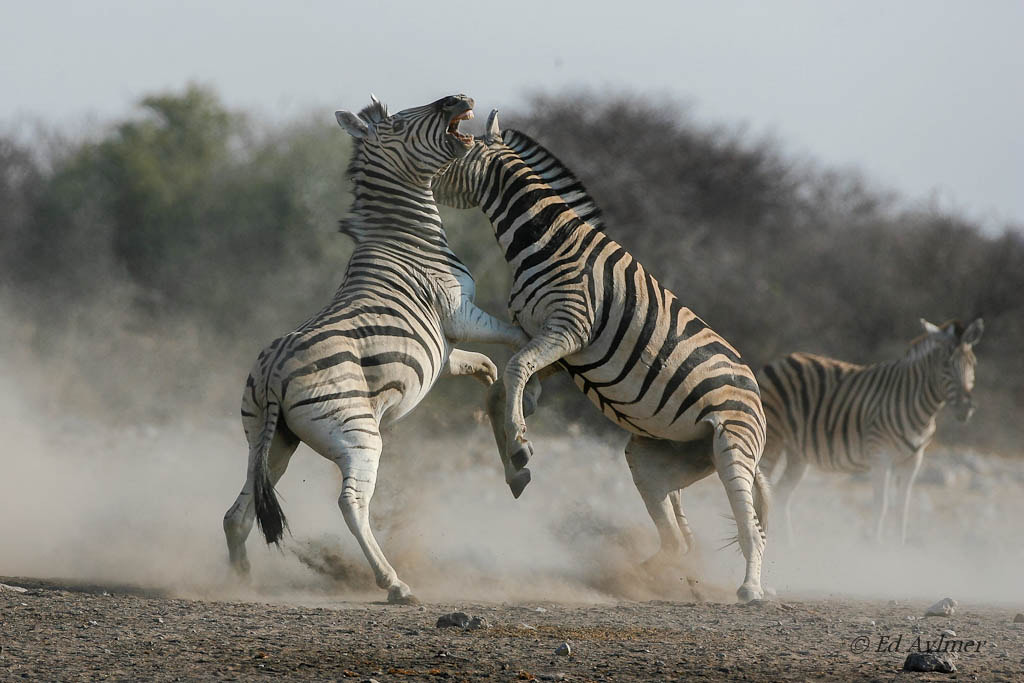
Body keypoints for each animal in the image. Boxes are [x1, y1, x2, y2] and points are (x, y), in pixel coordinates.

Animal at [222, 94, 529, 604]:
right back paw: (395, 583)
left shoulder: (445, 350)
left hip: (268, 440)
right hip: (358, 435)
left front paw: (514, 461)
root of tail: (274, 373)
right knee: (351, 502)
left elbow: (488, 370)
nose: (459, 98)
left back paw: (241, 579)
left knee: (239, 509)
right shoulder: (460, 312)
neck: (404, 237)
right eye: (402, 122)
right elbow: (517, 341)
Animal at [432, 110, 769, 601]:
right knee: (679, 539)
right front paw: (516, 456)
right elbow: (508, 383)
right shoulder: (551, 345)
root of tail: (755, 389)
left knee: (750, 528)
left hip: (731, 443)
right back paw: (630, 579)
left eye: (454, 148)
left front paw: (520, 448)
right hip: (660, 457)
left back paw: (750, 589)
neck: (546, 240)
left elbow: (515, 369)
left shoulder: (568, 329)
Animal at [758, 317, 983, 545]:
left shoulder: (912, 460)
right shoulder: (880, 455)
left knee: (781, 493)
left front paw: (900, 547)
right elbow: (881, 506)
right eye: (946, 364)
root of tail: (779, 360)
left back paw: (790, 546)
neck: (917, 403)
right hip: (773, 438)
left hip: (798, 452)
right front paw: (876, 546)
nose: (966, 408)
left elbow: (902, 509)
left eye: (972, 364)